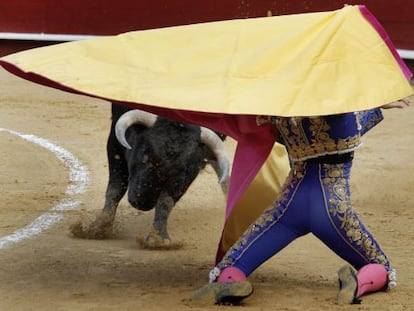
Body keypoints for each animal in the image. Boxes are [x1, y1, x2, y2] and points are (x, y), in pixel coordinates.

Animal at [69, 105, 228, 249]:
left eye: (182, 169)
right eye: (145, 156)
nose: (142, 203)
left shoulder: (191, 170)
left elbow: (166, 202)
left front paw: (157, 238)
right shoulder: (114, 143)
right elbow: (115, 189)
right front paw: (97, 228)